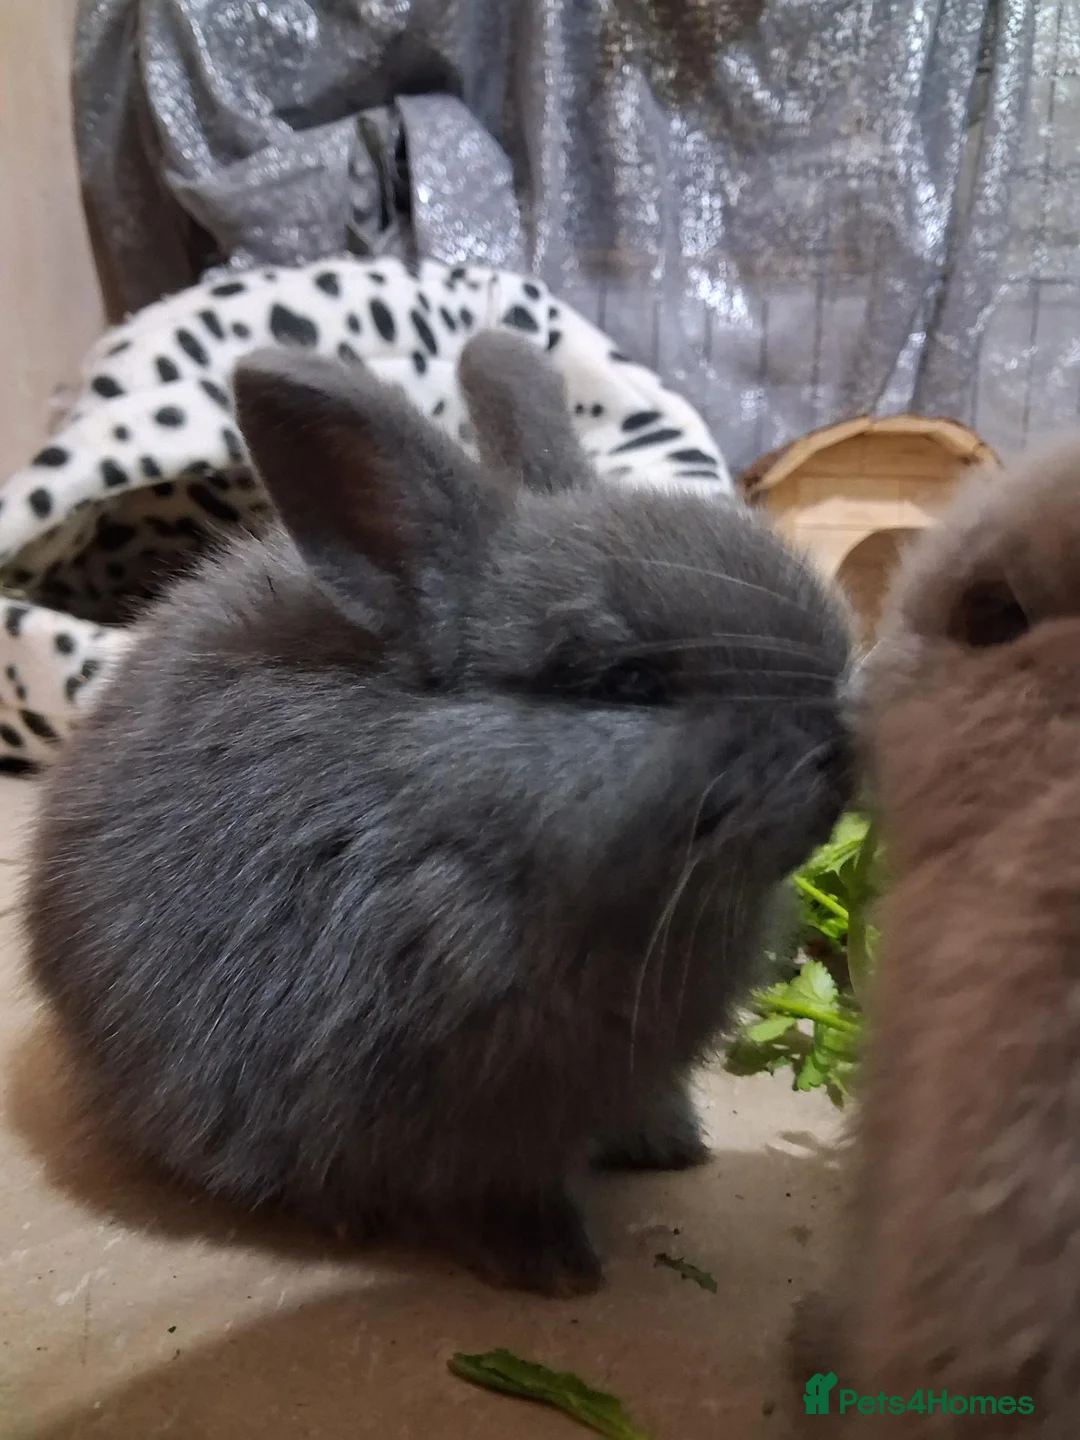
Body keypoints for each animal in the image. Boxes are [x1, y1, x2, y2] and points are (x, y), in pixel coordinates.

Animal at [24, 330, 852, 1295]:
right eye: (628, 683)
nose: (840, 750)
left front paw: (676, 1147)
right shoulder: (458, 1121)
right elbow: (490, 1195)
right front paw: (559, 1269)